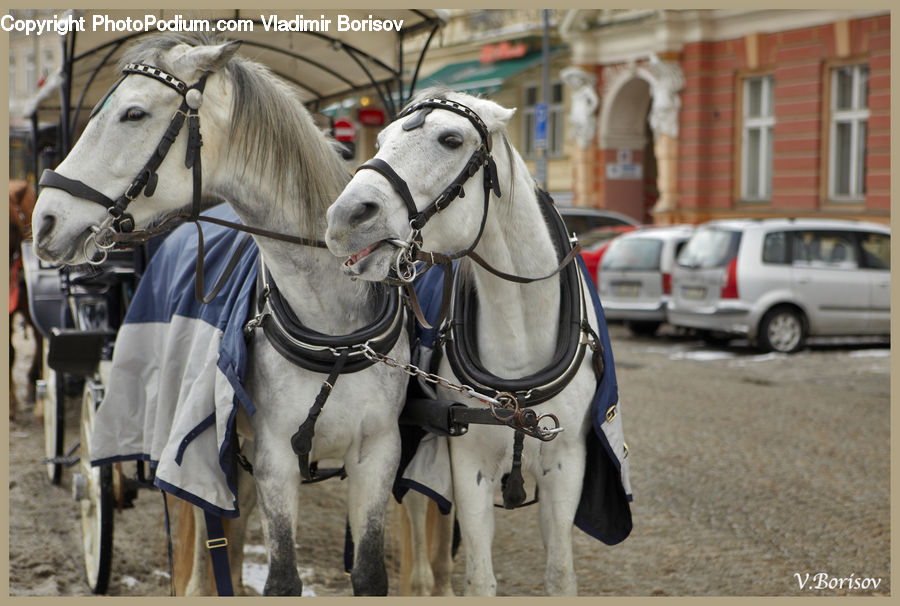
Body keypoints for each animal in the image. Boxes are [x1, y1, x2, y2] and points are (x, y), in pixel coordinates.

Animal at [30, 32, 410, 596]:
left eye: (133, 113)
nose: (45, 220)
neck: (332, 330)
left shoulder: (378, 453)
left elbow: (367, 574)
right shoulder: (275, 457)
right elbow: (281, 579)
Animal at [326, 90, 633, 595]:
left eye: (451, 139)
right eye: (383, 138)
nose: (344, 218)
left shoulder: (566, 467)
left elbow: (560, 575)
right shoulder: (468, 465)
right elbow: (480, 578)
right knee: (418, 517)